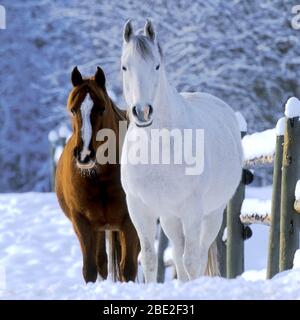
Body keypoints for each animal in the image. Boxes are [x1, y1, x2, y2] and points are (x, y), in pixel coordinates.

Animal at [55, 65, 140, 282]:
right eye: (73, 109)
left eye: (101, 108)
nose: (85, 154)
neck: (100, 177)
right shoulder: (82, 223)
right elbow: (90, 269)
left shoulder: (130, 222)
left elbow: (128, 268)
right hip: (100, 229)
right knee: (102, 262)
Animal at [119, 20, 244, 282]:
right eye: (125, 66)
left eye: (156, 65)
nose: (142, 111)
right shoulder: (139, 208)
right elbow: (149, 259)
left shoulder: (192, 211)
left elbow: (192, 261)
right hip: (170, 218)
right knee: (176, 253)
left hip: (211, 215)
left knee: (198, 254)